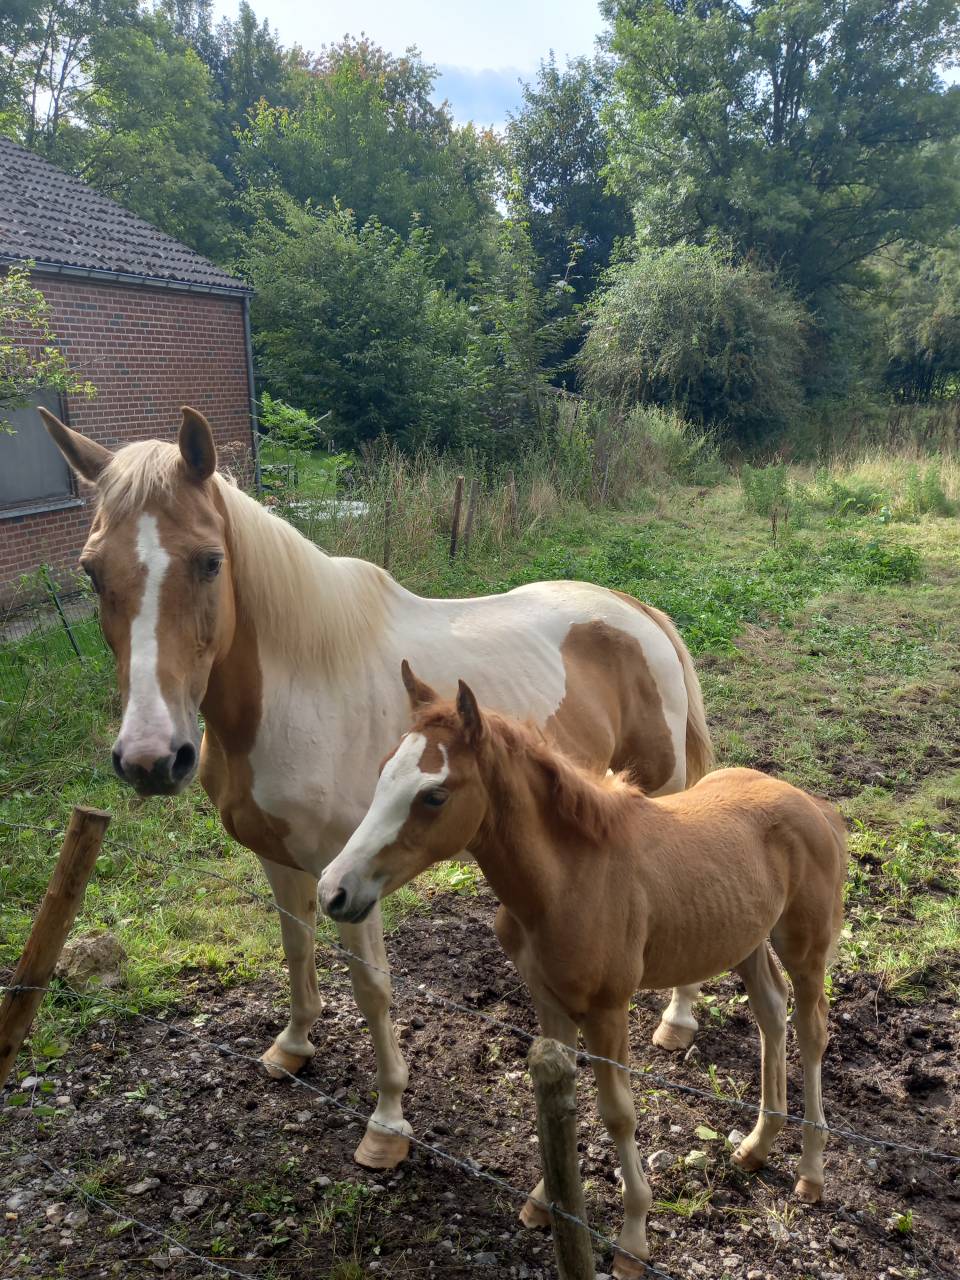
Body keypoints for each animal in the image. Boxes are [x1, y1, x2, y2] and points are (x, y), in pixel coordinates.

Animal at [41, 404, 714, 1170]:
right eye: (92, 571)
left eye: (210, 561)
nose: (152, 759)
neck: (299, 688)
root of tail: (636, 614)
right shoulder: (280, 859)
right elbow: (295, 947)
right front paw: (293, 1047)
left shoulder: (350, 872)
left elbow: (371, 987)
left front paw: (388, 1122)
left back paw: (678, 1019)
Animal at [318, 666, 847, 1275]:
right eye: (382, 773)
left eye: (433, 795)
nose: (333, 890)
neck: (567, 880)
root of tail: (812, 805)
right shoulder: (548, 998)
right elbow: (560, 1099)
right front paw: (544, 1203)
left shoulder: (607, 1008)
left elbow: (618, 1114)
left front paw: (633, 1240)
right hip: (744, 939)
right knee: (770, 1011)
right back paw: (758, 1145)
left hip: (804, 945)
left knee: (811, 1030)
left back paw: (810, 1170)